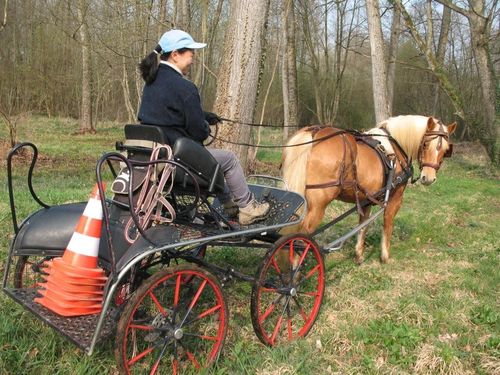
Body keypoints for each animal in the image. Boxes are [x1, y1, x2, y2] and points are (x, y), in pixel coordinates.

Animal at [284, 115, 456, 264]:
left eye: (445, 149)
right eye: (426, 144)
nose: (428, 178)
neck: (396, 147)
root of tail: (313, 133)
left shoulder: (366, 199)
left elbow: (363, 226)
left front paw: (359, 255)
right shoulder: (395, 199)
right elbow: (387, 225)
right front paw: (385, 256)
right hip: (318, 205)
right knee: (299, 238)